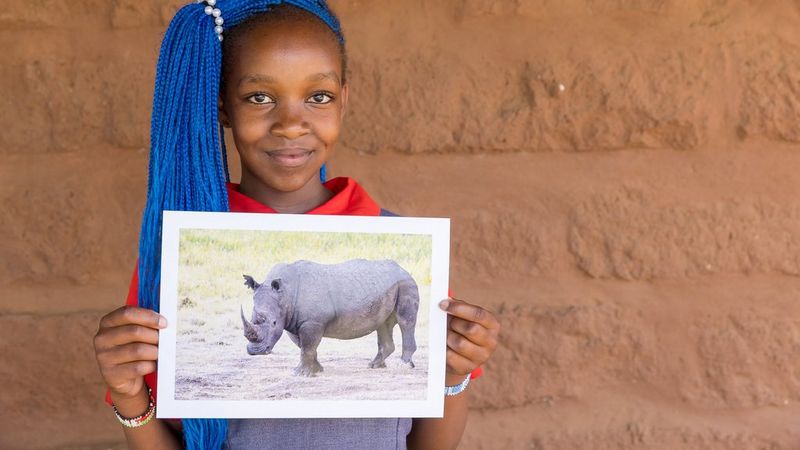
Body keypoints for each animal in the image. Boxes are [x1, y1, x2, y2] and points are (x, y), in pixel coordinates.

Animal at [240, 259, 420, 377]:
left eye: (273, 323)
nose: (255, 352)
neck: (284, 294)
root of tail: (404, 269)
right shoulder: (293, 321)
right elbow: (305, 346)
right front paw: (317, 370)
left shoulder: (312, 321)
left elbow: (307, 347)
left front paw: (301, 374)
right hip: (389, 286)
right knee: (383, 325)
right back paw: (374, 365)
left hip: (406, 284)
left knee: (405, 322)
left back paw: (402, 366)